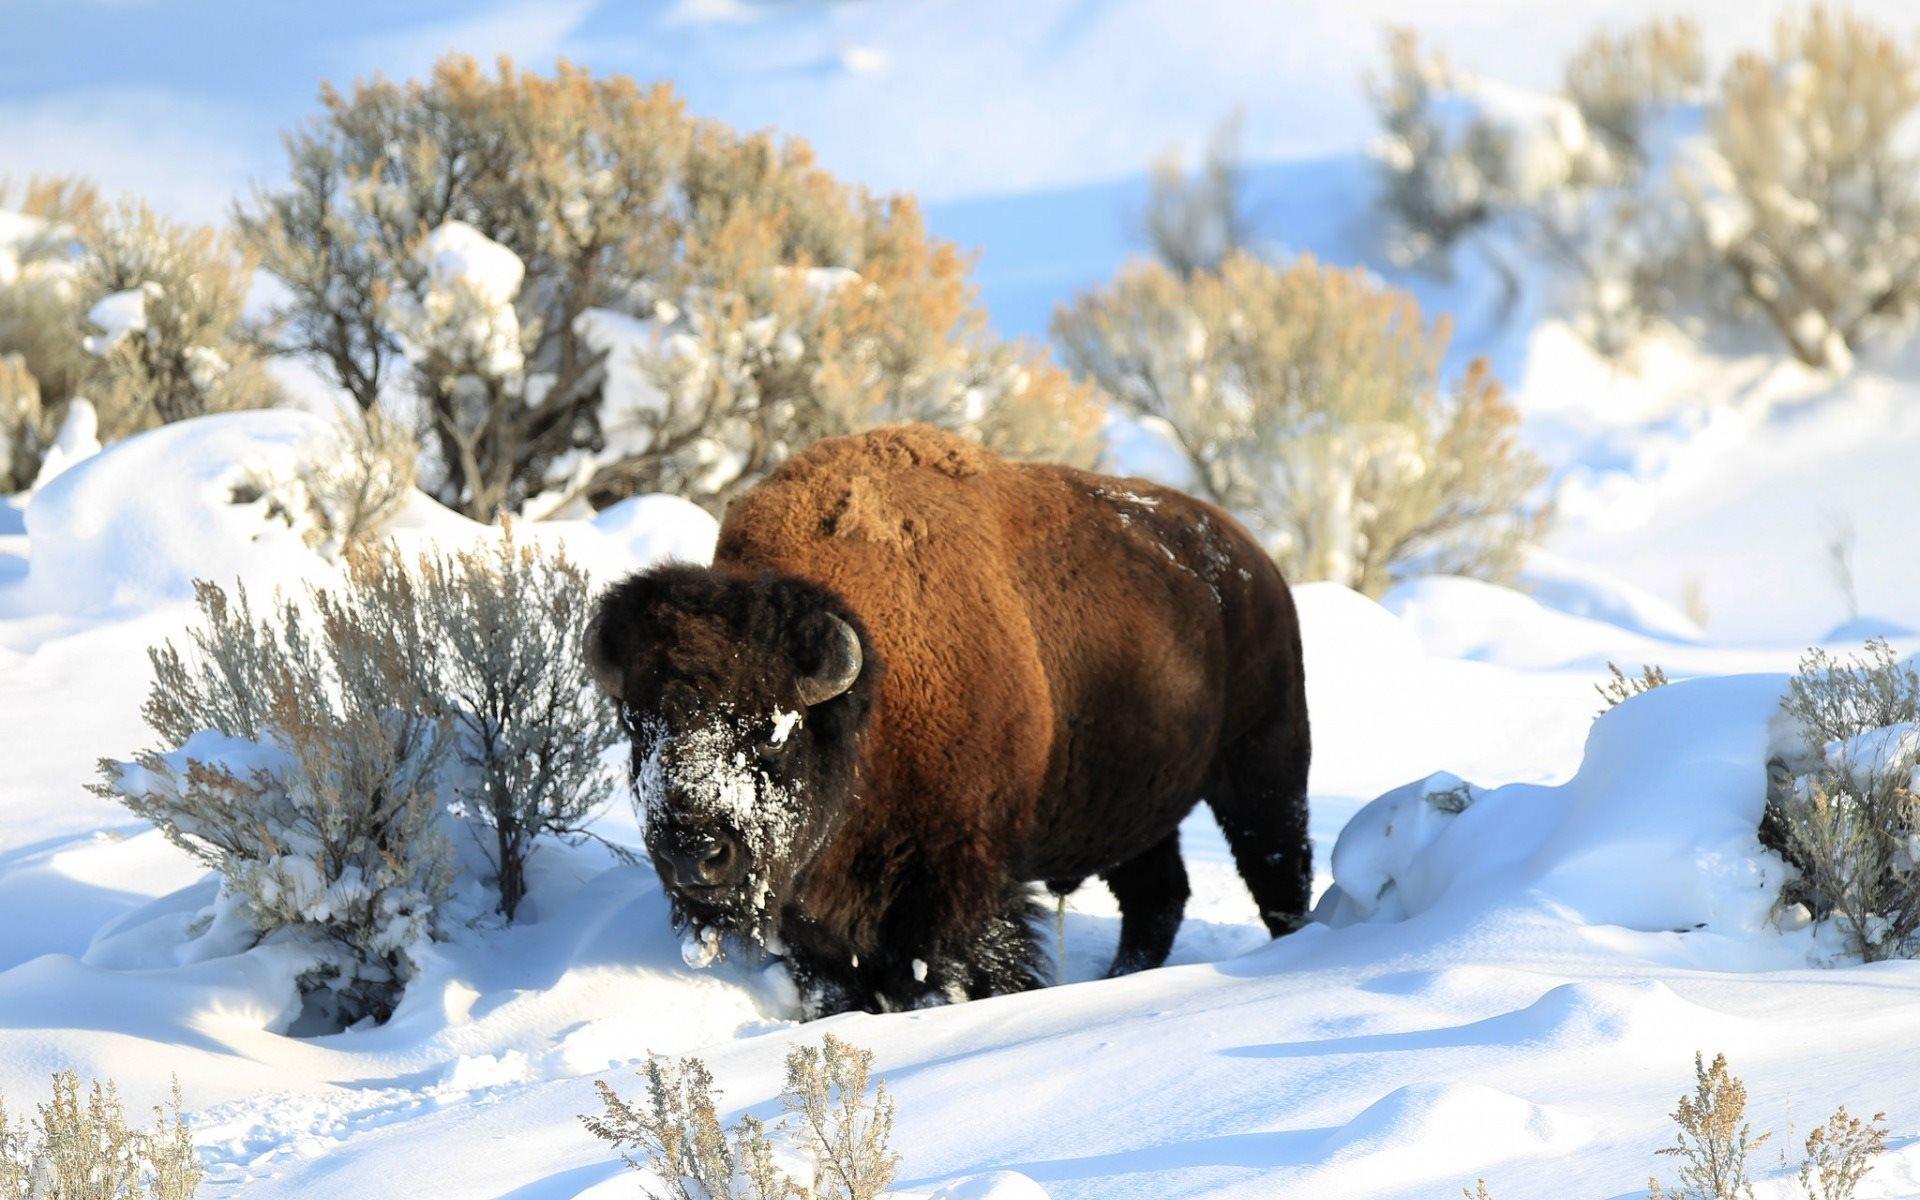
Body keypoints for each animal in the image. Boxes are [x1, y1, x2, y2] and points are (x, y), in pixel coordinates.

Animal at [587, 425, 1310, 1015]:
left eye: (773, 732)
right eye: (637, 727)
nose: (693, 853)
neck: (870, 701)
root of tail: (1251, 562)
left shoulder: (958, 881)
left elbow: (960, 969)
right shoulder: (819, 921)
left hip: (1264, 766)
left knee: (1277, 868)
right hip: (1134, 811)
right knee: (1156, 897)